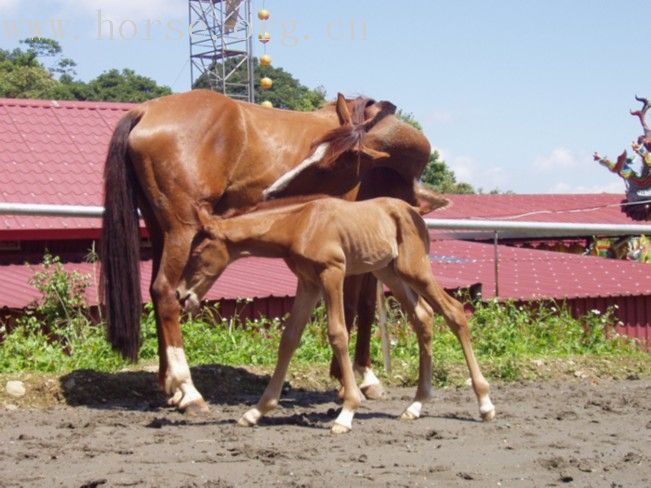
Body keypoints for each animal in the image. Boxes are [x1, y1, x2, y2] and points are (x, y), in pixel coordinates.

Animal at [102, 88, 448, 412]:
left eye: (331, 163)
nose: (272, 192)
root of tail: (145, 111)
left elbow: (365, 305)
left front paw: (364, 376)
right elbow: (352, 306)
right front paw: (348, 379)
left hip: (160, 231)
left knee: (157, 291)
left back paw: (170, 386)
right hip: (181, 231)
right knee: (165, 292)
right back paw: (188, 390)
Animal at [176, 196, 496, 432]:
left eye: (197, 252)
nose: (181, 295)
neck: (300, 224)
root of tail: (414, 212)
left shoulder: (333, 273)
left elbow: (338, 333)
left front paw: (347, 411)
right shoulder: (308, 283)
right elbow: (289, 339)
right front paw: (256, 411)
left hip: (414, 269)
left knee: (454, 312)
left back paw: (484, 403)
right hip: (388, 272)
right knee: (424, 316)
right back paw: (416, 405)